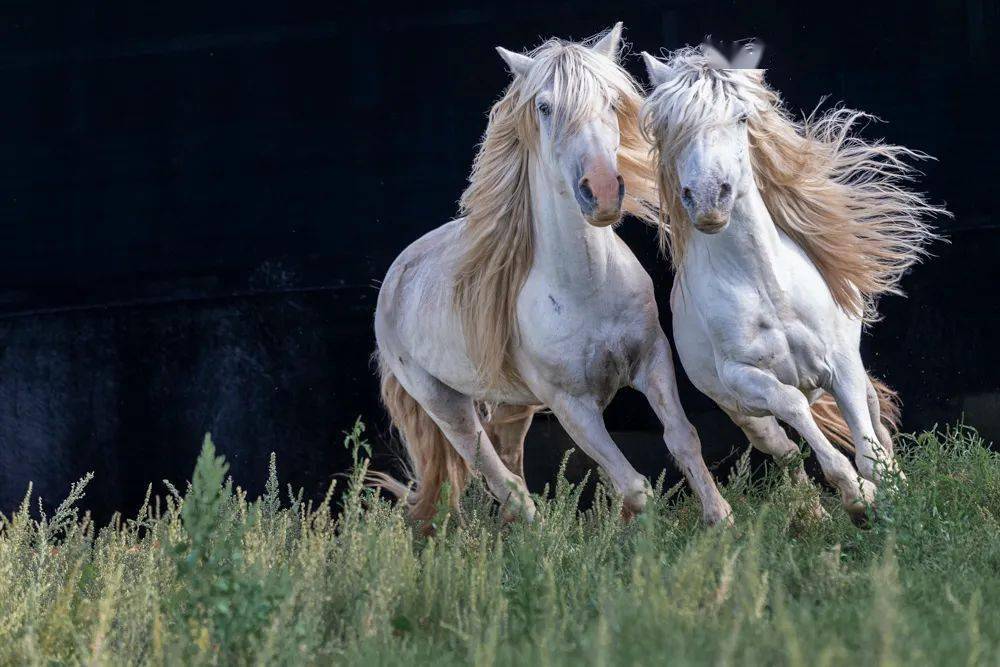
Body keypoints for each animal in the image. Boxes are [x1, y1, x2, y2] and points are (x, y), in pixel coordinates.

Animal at [372, 24, 732, 528]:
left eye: (611, 103)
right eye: (544, 107)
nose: (602, 191)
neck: (588, 288)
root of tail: (394, 278)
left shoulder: (653, 360)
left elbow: (683, 438)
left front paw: (720, 519)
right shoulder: (571, 406)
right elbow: (635, 486)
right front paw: (641, 536)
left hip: (512, 405)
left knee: (509, 464)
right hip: (445, 404)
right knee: (502, 481)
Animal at [640, 49, 944, 524]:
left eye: (742, 117)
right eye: (671, 123)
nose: (709, 199)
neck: (768, 288)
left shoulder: (840, 364)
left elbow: (867, 446)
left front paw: (892, 495)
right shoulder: (743, 376)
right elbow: (793, 409)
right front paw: (857, 496)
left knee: (874, 415)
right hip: (743, 412)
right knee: (782, 446)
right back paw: (814, 513)